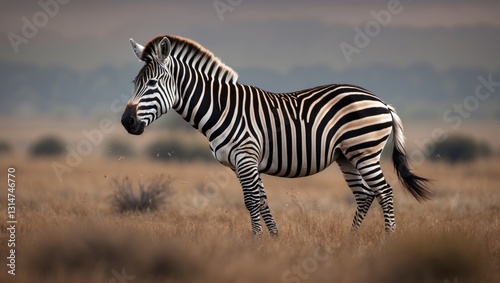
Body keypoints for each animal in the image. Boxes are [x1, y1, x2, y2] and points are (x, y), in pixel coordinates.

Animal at [122, 33, 434, 237]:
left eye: (152, 83)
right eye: (134, 83)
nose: (127, 122)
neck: (220, 107)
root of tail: (381, 101)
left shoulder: (246, 156)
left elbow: (251, 201)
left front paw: (256, 242)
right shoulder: (243, 163)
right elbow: (261, 200)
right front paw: (274, 240)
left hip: (365, 151)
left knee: (385, 192)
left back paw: (388, 239)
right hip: (346, 156)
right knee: (365, 195)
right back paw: (351, 240)